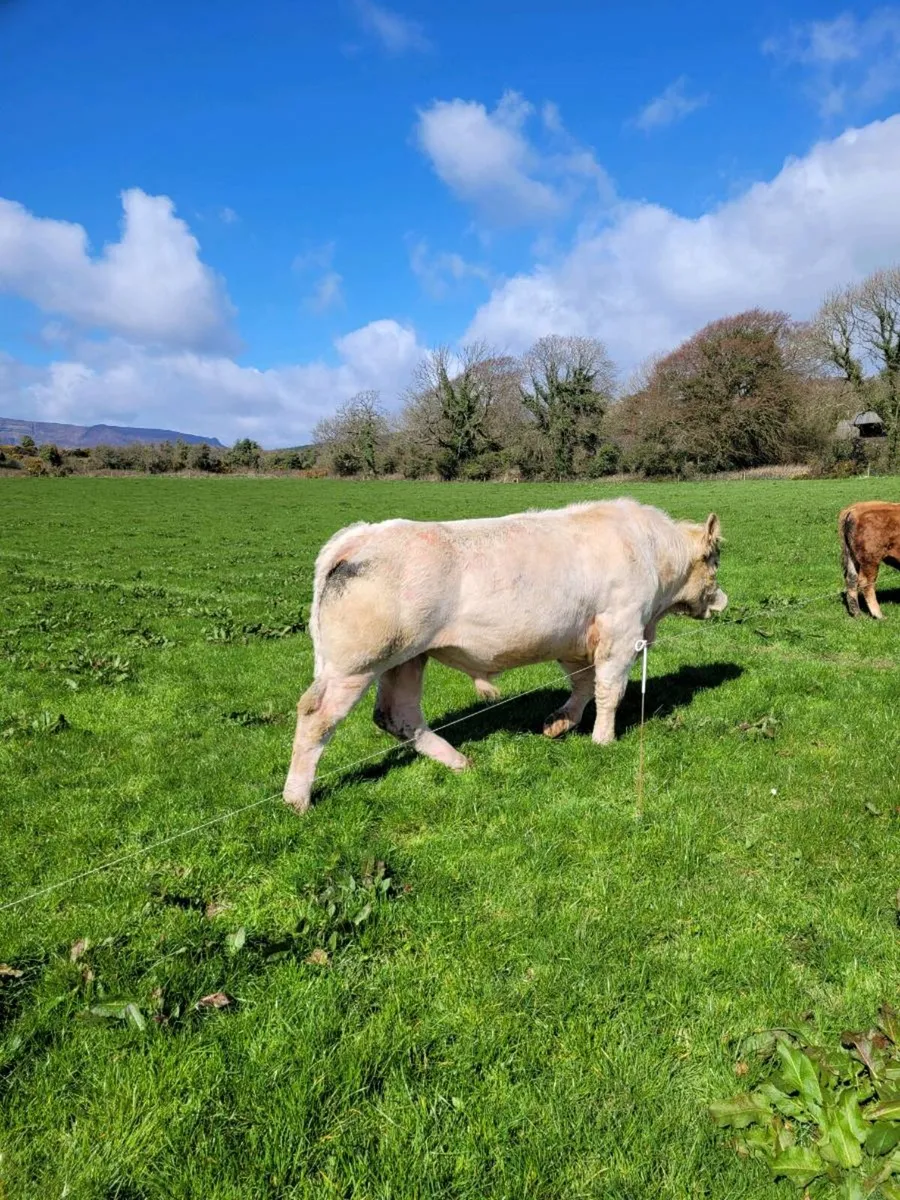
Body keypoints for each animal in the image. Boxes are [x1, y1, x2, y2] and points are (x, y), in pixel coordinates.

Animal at [282, 498, 728, 814]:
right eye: (715, 562)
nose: (721, 600)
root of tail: (359, 536)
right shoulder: (622, 628)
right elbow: (609, 689)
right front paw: (603, 740)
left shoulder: (575, 637)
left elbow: (582, 683)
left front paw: (558, 724)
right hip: (357, 663)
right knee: (316, 715)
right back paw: (296, 800)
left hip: (407, 657)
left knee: (397, 715)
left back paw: (459, 762)